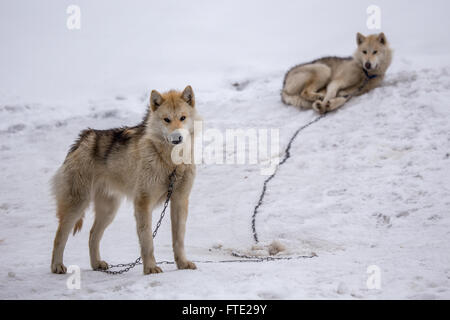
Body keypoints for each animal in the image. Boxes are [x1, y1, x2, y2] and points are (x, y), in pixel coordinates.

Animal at [50, 85, 200, 276]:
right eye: (166, 119)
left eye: (182, 117)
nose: (177, 138)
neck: (171, 162)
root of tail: (83, 138)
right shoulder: (143, 202)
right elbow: (147, 241)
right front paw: (150, 268)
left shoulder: (180, 201)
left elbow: (178, 239)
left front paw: (183, 264)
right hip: (77, 205)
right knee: (59, 236)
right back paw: (57, 266)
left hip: (109, 211)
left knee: (92, 235)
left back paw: (96, 264)